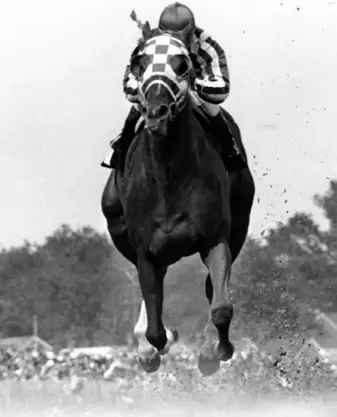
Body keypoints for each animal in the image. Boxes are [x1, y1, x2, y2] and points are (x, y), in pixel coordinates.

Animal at [101, 27, 253, 376]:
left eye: (182, 64)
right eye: (140, 63)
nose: (156, 112)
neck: (168, 173)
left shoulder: (216, 237)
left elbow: (221, 306)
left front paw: (214, 353)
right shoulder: (146, 249)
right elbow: (155, 327)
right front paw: (156, 344)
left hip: (239, 221)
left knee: (212, 287)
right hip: (116, 221)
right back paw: (146, 348)